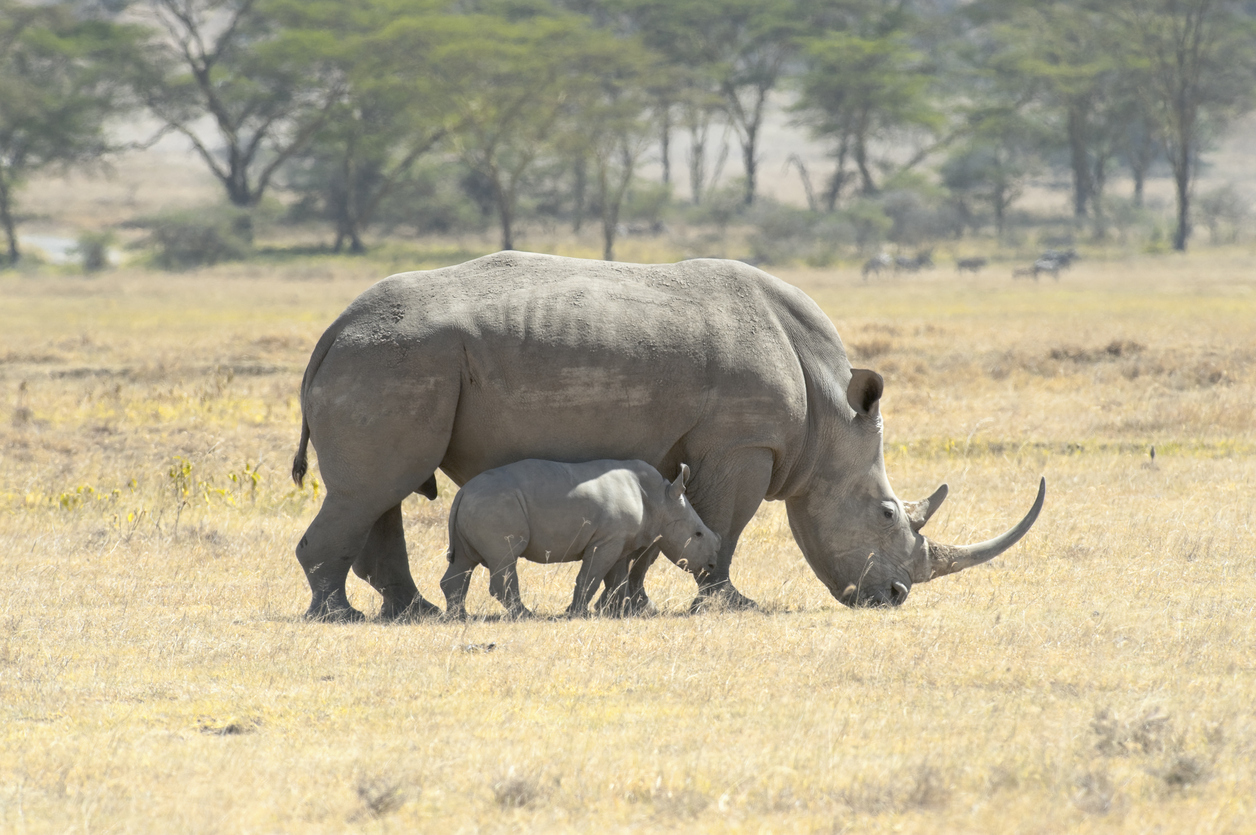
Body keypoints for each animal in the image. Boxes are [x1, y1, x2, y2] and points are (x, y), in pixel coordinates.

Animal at [444, 459, 723, 615]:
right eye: (698, 534)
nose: (712, 565)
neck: (661, 499)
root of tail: (462, 492)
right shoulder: (606, 540)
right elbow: (591, 576)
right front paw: (577, 613)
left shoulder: (618, 540)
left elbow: (616, 579)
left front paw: (616, 612)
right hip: (495, 505)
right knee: (506, 556)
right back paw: (524, 615)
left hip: (478, 505)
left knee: (464, 561)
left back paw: (457, 616)